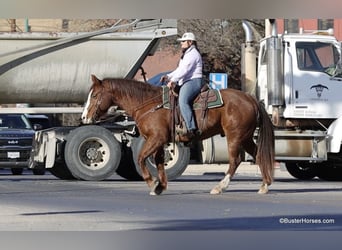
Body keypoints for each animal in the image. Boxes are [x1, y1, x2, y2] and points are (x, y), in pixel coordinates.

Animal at [81, 74, 276, 195]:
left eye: (95, 95)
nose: (84, 117)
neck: (148, 104)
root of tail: (250, 99)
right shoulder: (159, 141)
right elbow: (159, 162)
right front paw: (160, 186)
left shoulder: (156, 139)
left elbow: (141, 158)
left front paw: (152, 182)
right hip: (246, 137)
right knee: (259, 155)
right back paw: (264, 185)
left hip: (234, 137)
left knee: (235, 160)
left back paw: (220, 187)